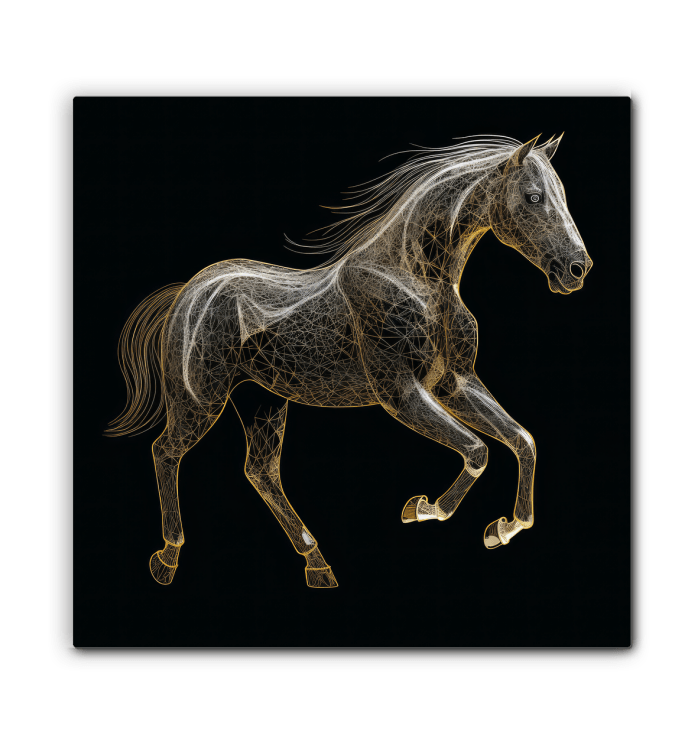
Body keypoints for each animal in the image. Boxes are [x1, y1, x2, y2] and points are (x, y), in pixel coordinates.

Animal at [107, 133, 593, 588]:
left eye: (562, 194)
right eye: (534, 197)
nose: (577, 269)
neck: (415, 277)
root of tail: (186, 294)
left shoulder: (454, 382)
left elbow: (522, 441)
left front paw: (503, 528)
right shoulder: (401, 392)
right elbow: (478, 450)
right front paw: (424, 509)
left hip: (263, 402)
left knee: (260, 471)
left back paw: (317, 564)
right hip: (200, 401)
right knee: (165, 453)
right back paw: (167, 559)